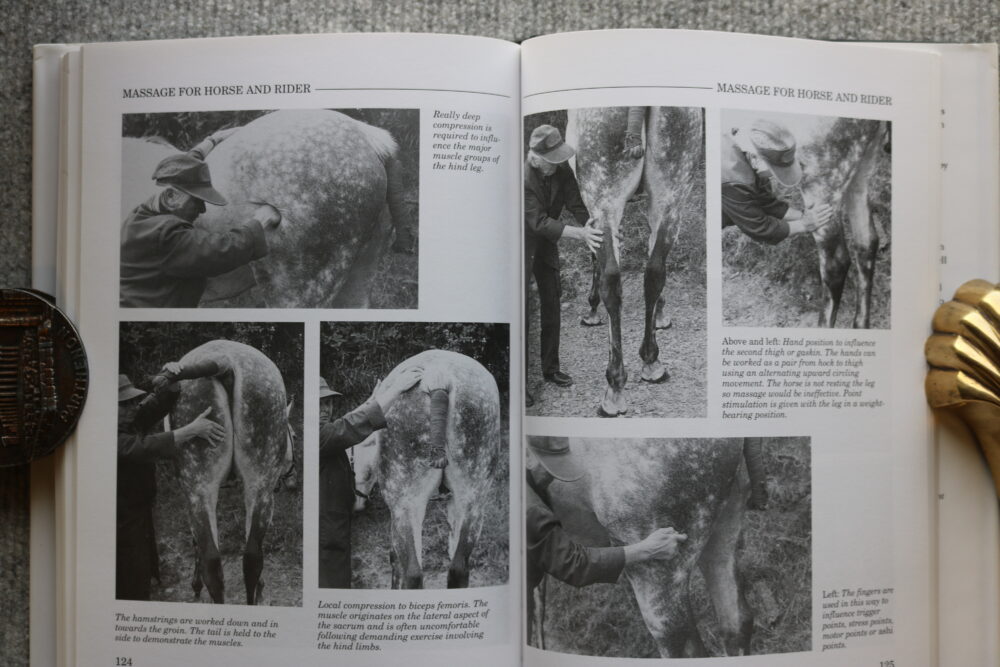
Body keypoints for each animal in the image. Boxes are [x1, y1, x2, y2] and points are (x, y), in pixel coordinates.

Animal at [168, 339, 292, 604]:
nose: (291, 482)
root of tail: (224, 362)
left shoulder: (192, 495)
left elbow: (196, 541)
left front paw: (195, 586)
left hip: (199, 486)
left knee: (213, 562)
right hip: (261, 486)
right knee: (252, 557)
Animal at [376, 350, 500, 588]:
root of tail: (438, 377)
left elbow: (396, 560)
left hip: (403, 503)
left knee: (413, 573)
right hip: (473, 499)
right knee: (458, 568)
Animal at [566, 107, 704, 417]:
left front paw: (591, 308)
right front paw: (660, 316)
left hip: (603, 195)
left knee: (612, 280)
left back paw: (614, 386)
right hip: (673, 190)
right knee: (654, 272)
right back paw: (651, 361)